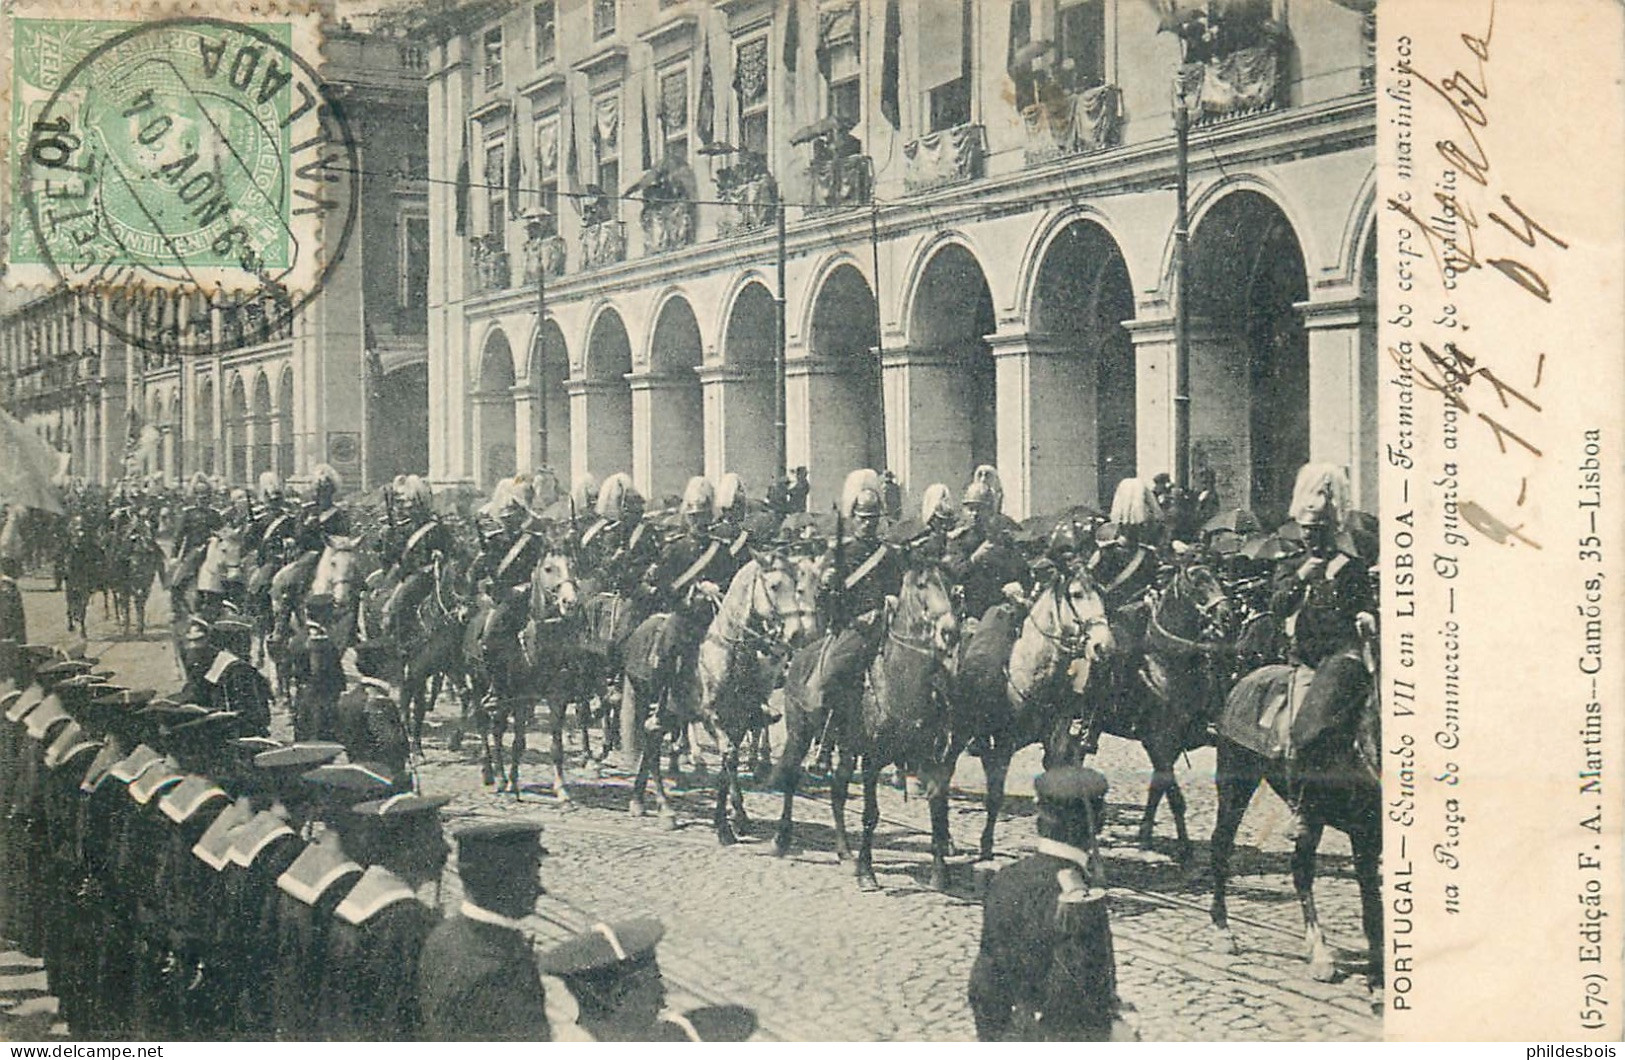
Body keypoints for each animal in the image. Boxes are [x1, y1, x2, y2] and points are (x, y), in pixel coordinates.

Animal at [776, 559, 955, 890]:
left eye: (951, 585)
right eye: (921, 586)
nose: (950, 631)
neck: (900, 685)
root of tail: (799, 656)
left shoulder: (930, 758)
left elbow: (937, 810)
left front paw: (939, 872)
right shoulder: (872, 760)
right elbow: (871, 814)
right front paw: (867, 872)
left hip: (846, 748)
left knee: (837, 791)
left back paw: (844, 852)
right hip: (799, 733)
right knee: (792, 778)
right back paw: (782, 839)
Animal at [949, 562, 1118, 858]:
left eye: (1102, 594)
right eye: (1076, 594)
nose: (1103, 646)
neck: (1032, 668)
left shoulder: (1056, 739)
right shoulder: (1003, 741)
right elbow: (995, 795)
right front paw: (986, 845)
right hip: (959, 729)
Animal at [1209, 647, 1384, 994]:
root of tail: (1247, 678)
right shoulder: (1365, 835)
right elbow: (1372, 907)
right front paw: (1378, 982)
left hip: (1311, 816)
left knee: (1301, 870)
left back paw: (1318, 951)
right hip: (1235, 784)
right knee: (1221, 846)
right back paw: (1223, 930)